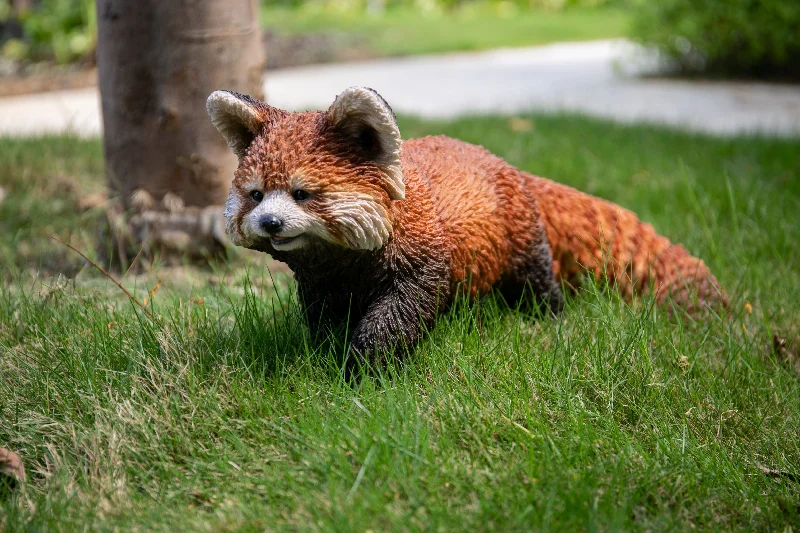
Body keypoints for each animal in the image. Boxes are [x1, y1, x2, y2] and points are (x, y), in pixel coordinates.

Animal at [206, 87, 724, 362]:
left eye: (302, 194)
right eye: (255, 195)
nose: (270, 222)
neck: (344, 264)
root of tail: (510, 167)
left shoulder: (425, 259)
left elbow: (400, 313)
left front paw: (367, 362)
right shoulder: (322, 282)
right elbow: (322, 317)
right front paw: (326, 350)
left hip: (521, 236)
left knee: (537, 282)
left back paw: (547, 318)